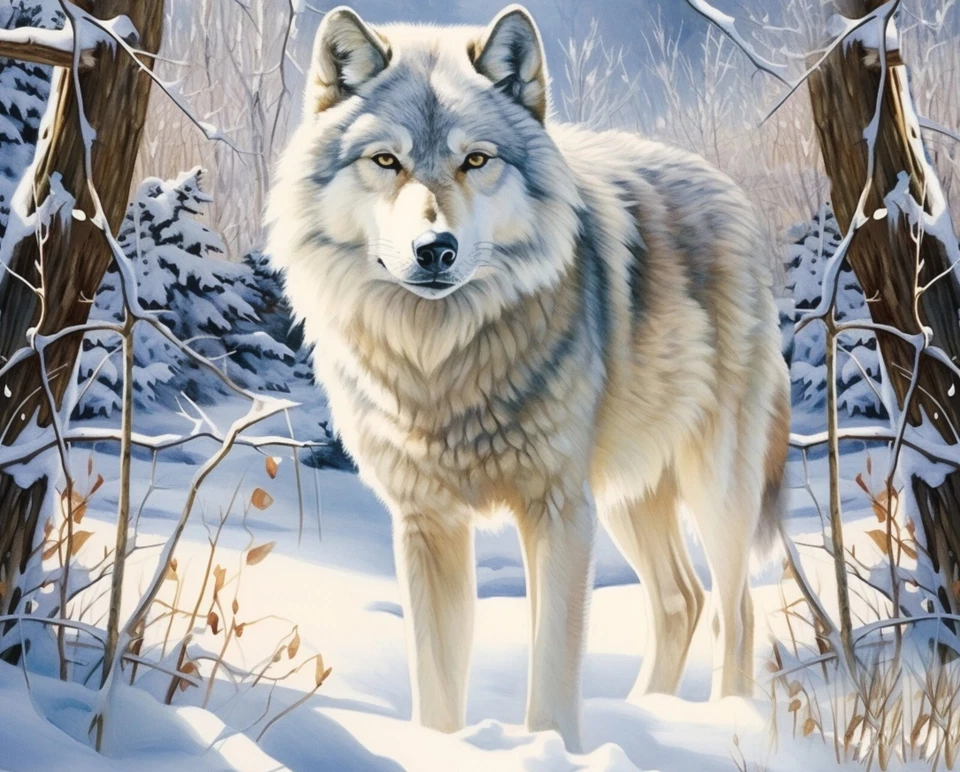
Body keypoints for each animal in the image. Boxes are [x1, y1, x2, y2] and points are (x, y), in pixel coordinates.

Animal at [267, 4, 790, 752]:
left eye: (476, 159)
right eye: (387, 161)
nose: (435, 249)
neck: (440, 361)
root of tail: (726, 188)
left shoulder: (559, 509)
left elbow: (552, 666)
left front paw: (556, 749)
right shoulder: (426, 522)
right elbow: (436, 684)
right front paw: (440, 751)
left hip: (712, 488)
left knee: (735, 608)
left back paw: (720, 724)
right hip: (629, 494)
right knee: (680, 599)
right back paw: (649, 712)